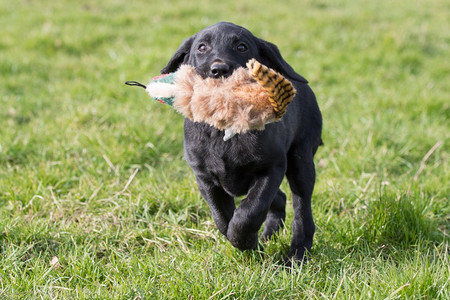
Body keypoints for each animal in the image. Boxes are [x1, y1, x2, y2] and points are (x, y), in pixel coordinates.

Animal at [160, 22, 322, 264]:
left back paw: (297, 254)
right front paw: (250, 245)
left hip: (301, 160)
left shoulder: (271, 168)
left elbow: (249, 211)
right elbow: (222, 217)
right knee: (280, 199)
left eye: (241, 46)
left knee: (302, 210)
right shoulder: (205, 178)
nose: (219, 69)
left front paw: (243, 239)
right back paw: (268, 235)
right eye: (201, 47)